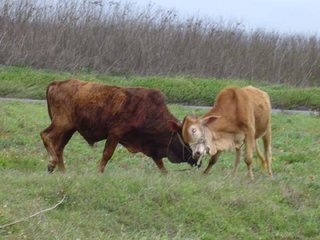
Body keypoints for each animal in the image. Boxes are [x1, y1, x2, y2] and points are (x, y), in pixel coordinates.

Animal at [38, 79, 196, 173]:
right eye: (186, 139)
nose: (196, 159)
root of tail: (55, 84)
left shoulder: (151, 146)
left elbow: (160, 164)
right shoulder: (115, 134)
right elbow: (107, 155)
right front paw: (99, 172)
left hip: (69, 129)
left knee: (59, 148)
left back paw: (63, 172)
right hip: (62, 124)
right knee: (45, 135)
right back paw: (51, 164)